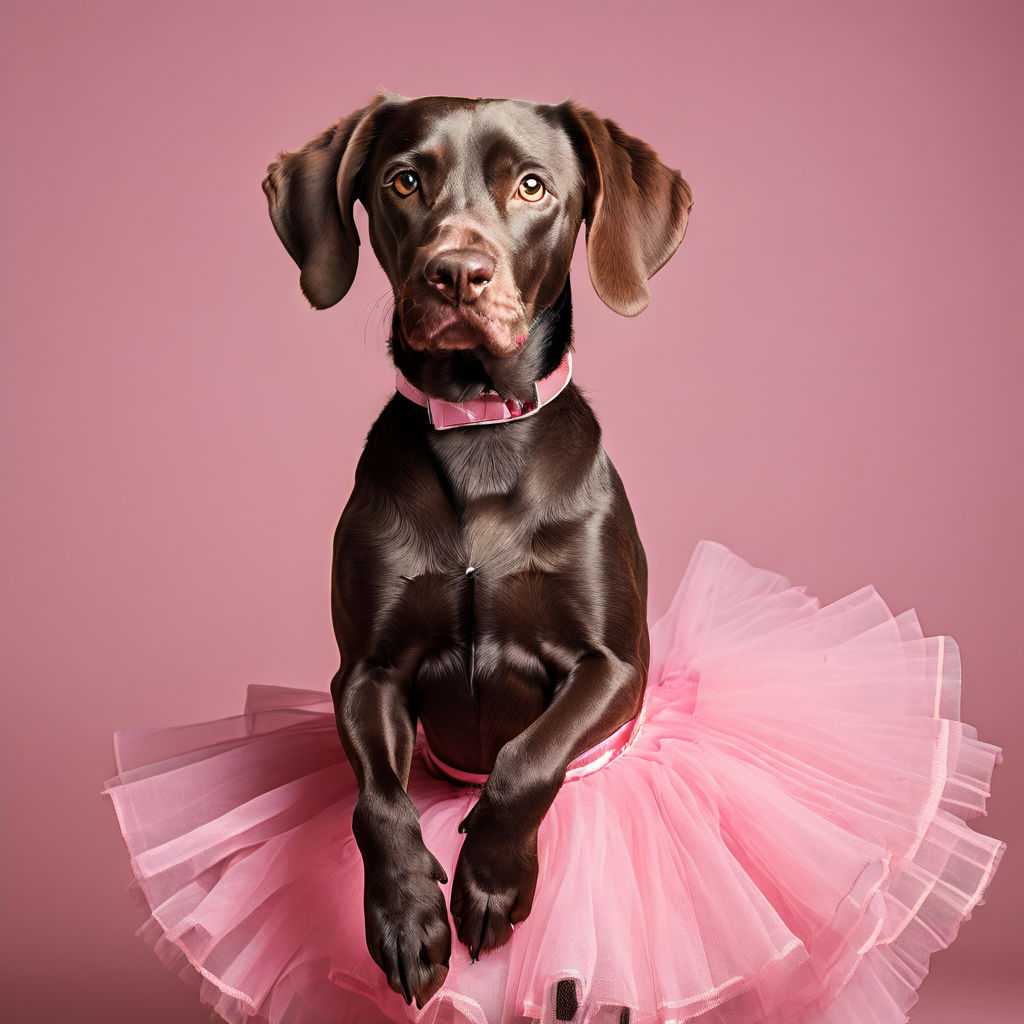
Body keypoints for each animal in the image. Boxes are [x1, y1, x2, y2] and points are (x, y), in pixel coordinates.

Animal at [264, 94, 696, 1007]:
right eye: (403, 181)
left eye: (532, 185)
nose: (456, 274)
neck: (478, 431)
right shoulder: (367, 672)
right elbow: (376, 804)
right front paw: (406, 918)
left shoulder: (614, 668)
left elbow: (525, 760)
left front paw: (490, 883)